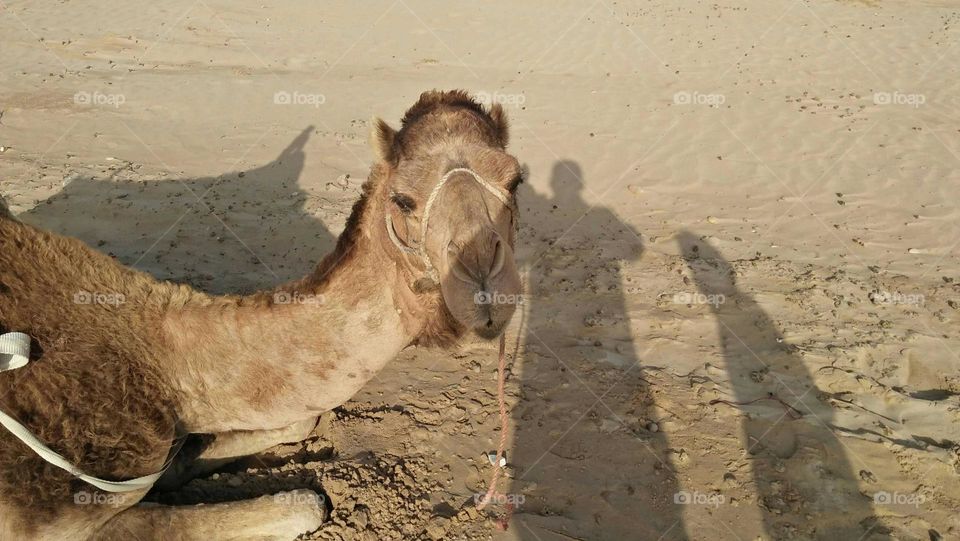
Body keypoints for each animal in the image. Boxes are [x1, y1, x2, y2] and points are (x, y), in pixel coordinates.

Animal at [0, 90, 520, 536]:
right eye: (403, 199)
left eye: (516, 180)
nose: (484, 282)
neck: (161, 360)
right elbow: (307, 503)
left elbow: (298, 423)